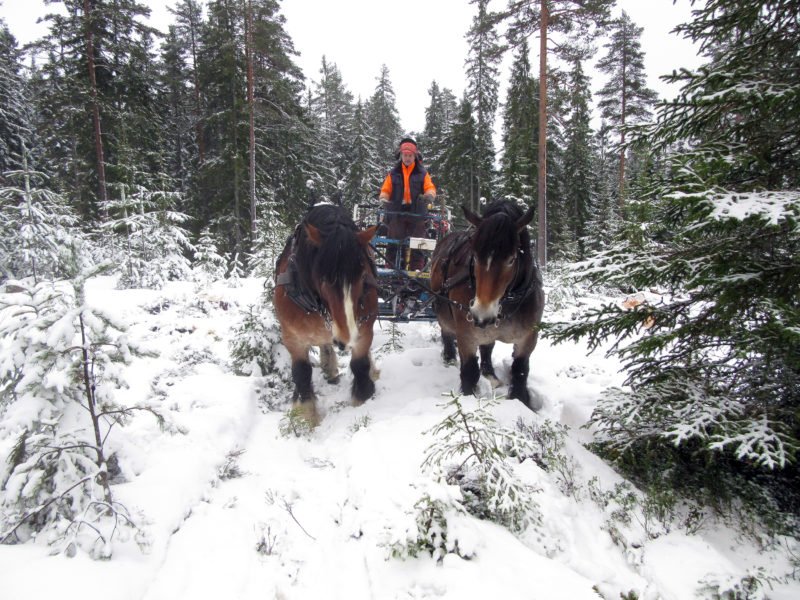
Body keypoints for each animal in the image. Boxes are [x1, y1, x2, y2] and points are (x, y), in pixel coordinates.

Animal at [274, 204, 380, 424]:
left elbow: (360, 365)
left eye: (362, 275)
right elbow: (302, 373)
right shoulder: (291, 337)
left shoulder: (364, 329)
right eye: (323, 279)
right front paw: (306, 416)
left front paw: (363, 399)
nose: (346, 339)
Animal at [432, 199, 544, 410]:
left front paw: (521, 400)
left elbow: (520, 370)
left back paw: (490, 373)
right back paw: (449, 358)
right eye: (474, 256)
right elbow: (469, 371)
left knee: (487, 346)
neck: (507, 302)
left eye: (511, 259)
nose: (481, 314)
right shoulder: (466, 335)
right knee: (447, 333)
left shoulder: (528, 337)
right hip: (444, 313)